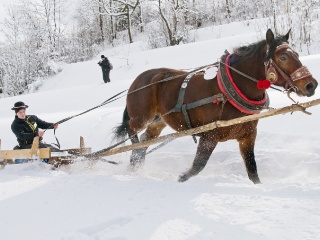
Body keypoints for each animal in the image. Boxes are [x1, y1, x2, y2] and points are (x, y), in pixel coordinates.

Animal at [114, 30, 318, 184]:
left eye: (296, 54)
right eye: (283, 57)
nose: (311, 85)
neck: (230, 90)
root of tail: (139, 79)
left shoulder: (248, 136)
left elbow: (253, 171)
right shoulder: (209, 136)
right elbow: (197, 166)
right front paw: (180, 178)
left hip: (158, 121)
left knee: (145, 141)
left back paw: (136, 165)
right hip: (141, 117)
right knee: (133, 132)